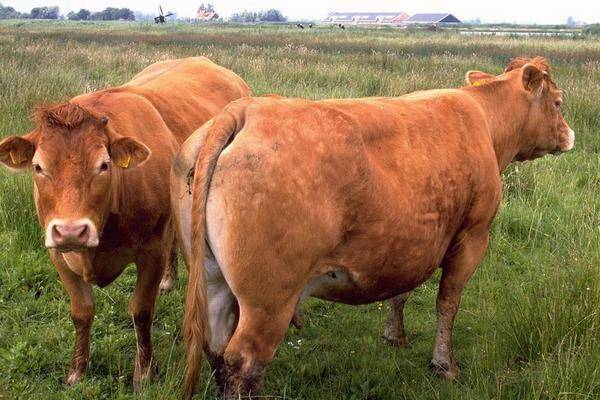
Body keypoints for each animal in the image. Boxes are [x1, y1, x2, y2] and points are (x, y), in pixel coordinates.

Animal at [0, 57, 250, 390]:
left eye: (104, 165)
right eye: (38, 167)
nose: (71, 231)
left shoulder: (152, 250)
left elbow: (141, 310)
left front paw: (144, 372)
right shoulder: (58, 254)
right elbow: (81, 312)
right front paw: (77, 371)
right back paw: (169, 281)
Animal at [171, 56, 576, 396]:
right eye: (558, 102)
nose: (570, 135)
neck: (484, 121)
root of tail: (245, 110)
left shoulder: (412, 241)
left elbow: (401, 291)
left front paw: (395, 335)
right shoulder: (472, 237)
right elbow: (448, 303)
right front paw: (444, 364)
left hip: (213, 281)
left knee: (216, 347)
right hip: (268, 302)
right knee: (244, 361)